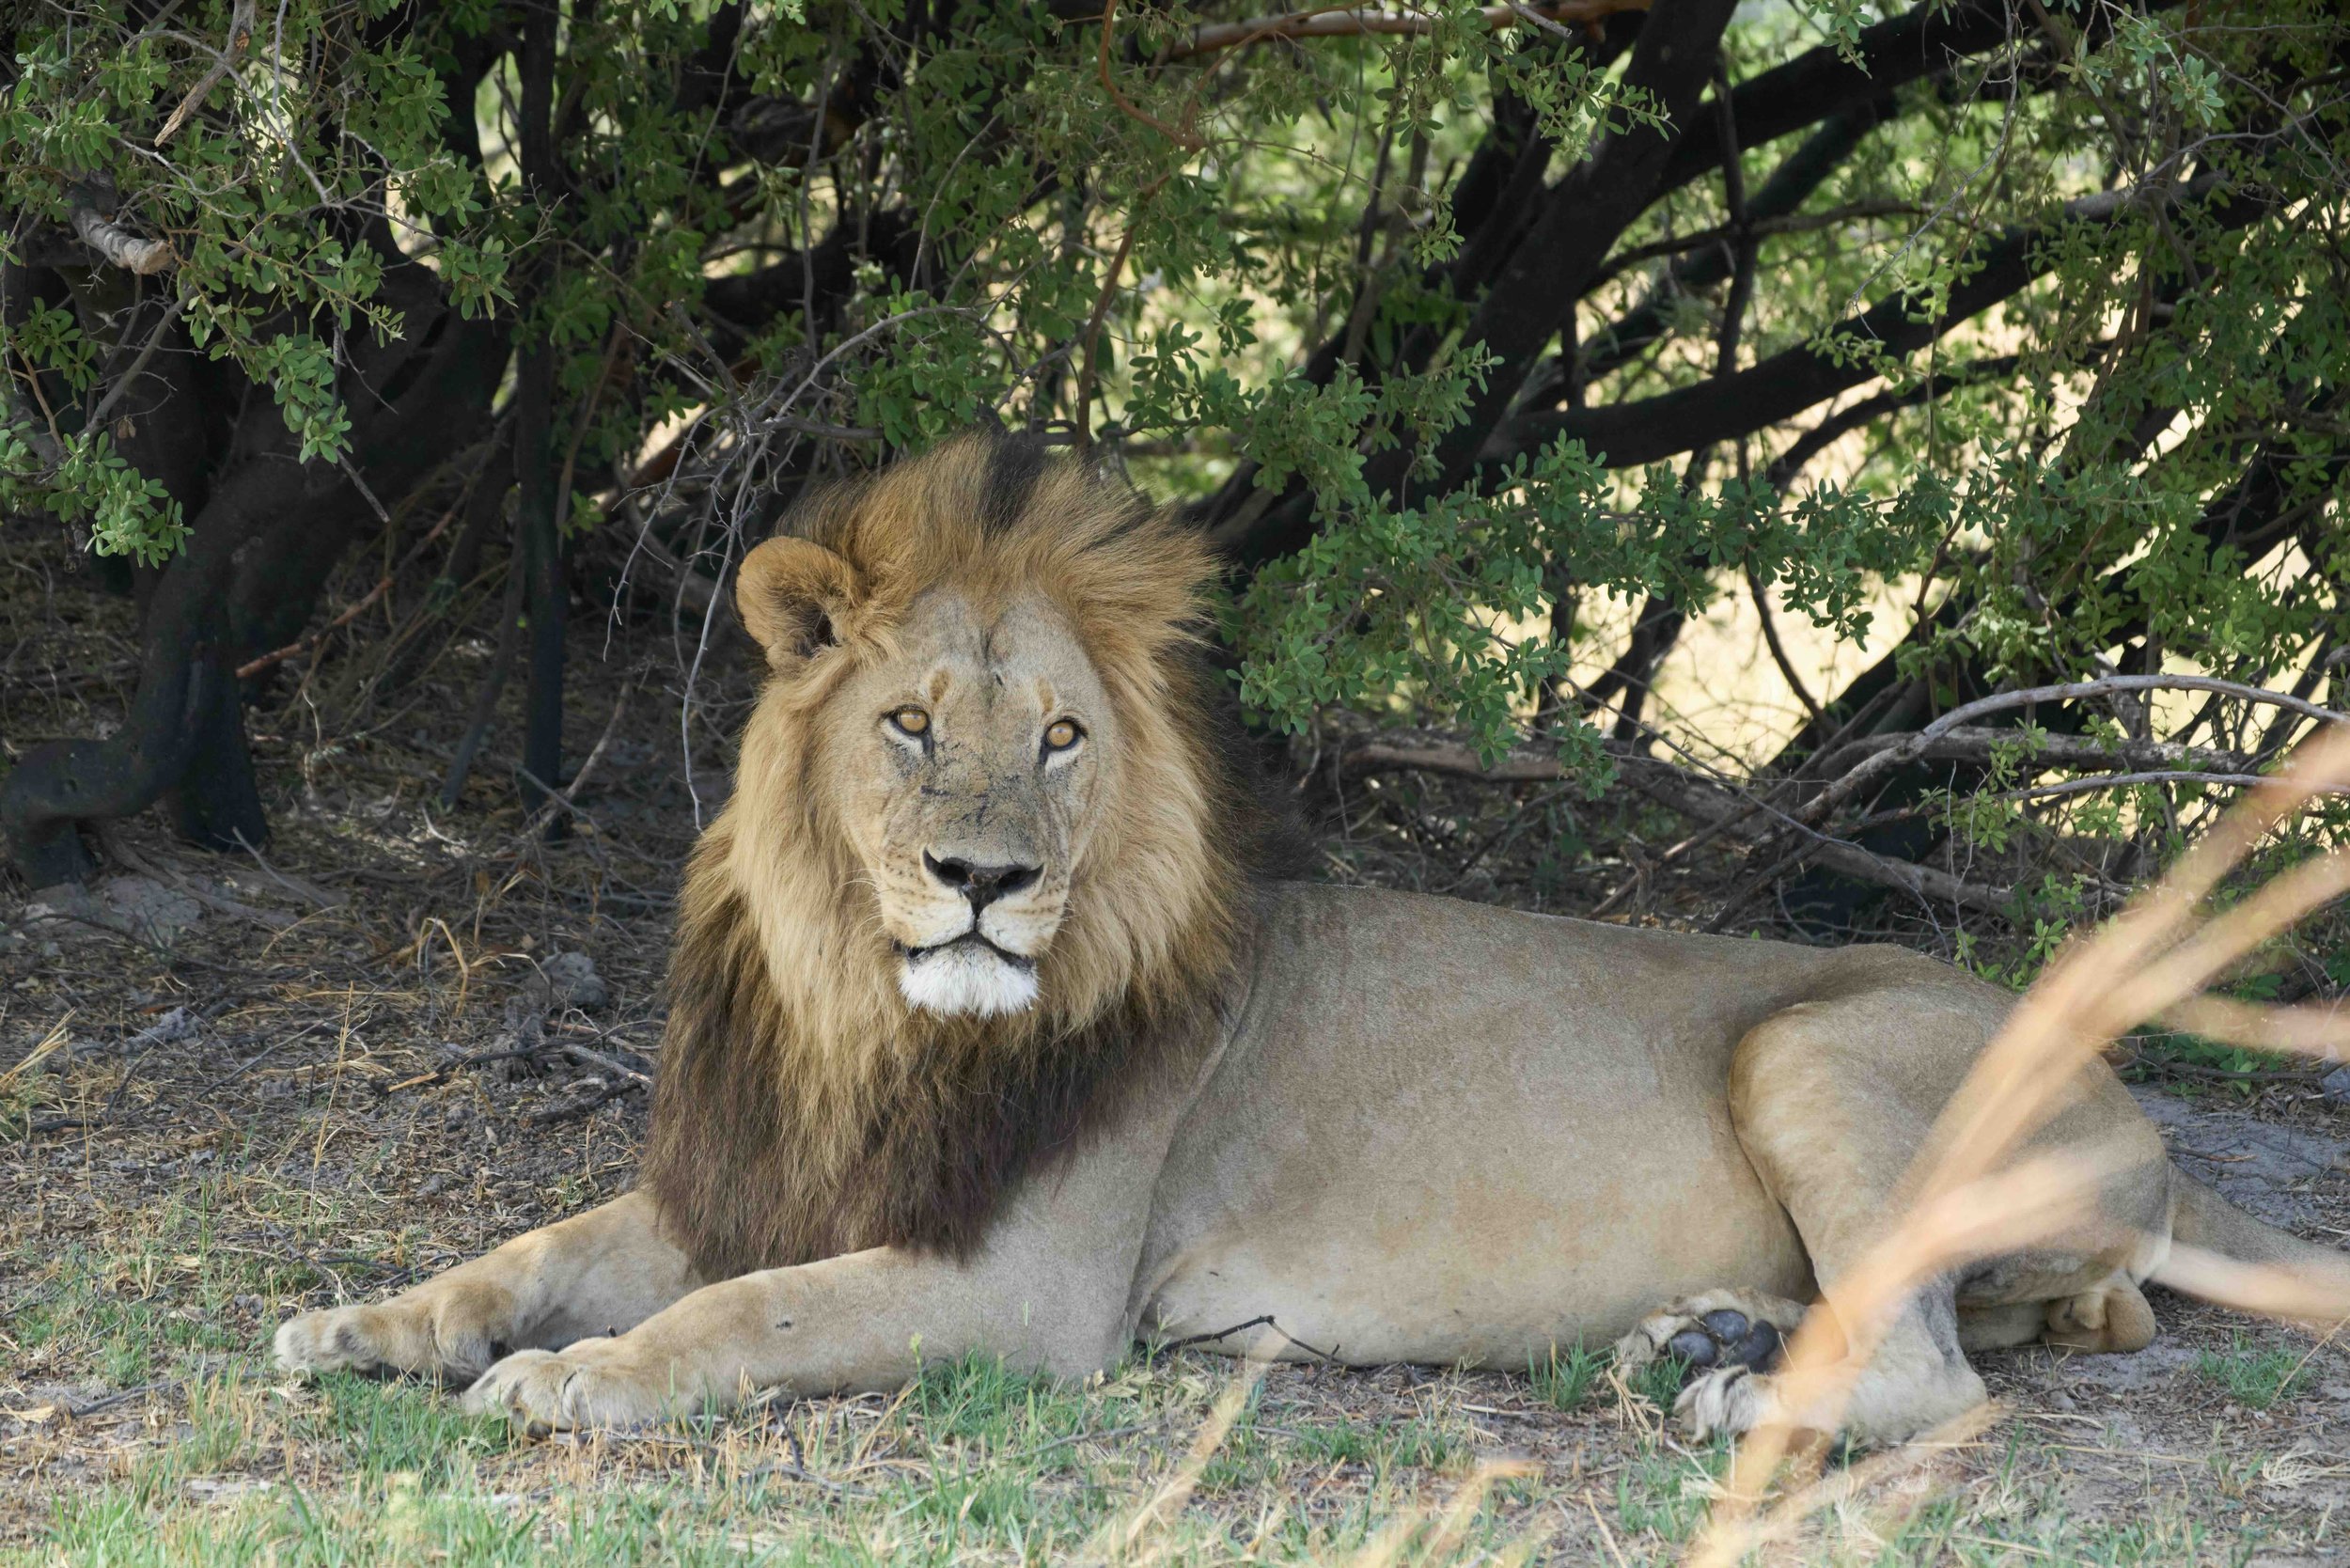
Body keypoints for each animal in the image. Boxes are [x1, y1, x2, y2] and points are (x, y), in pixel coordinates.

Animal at [276, 430, 2350, 1443]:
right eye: (910, 722)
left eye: (1061, 738)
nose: (981, 879)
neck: (872, 1008)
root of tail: (2146, 1121)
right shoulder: (748, 1173)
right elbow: (531, 1251)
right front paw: (365, 1320)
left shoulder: (1024, 1289)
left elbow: (745, 1313)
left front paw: (573, 1384)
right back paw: (1702, 1327)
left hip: (1814, 1044)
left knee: (1942, 1376)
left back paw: (1738, 1390)